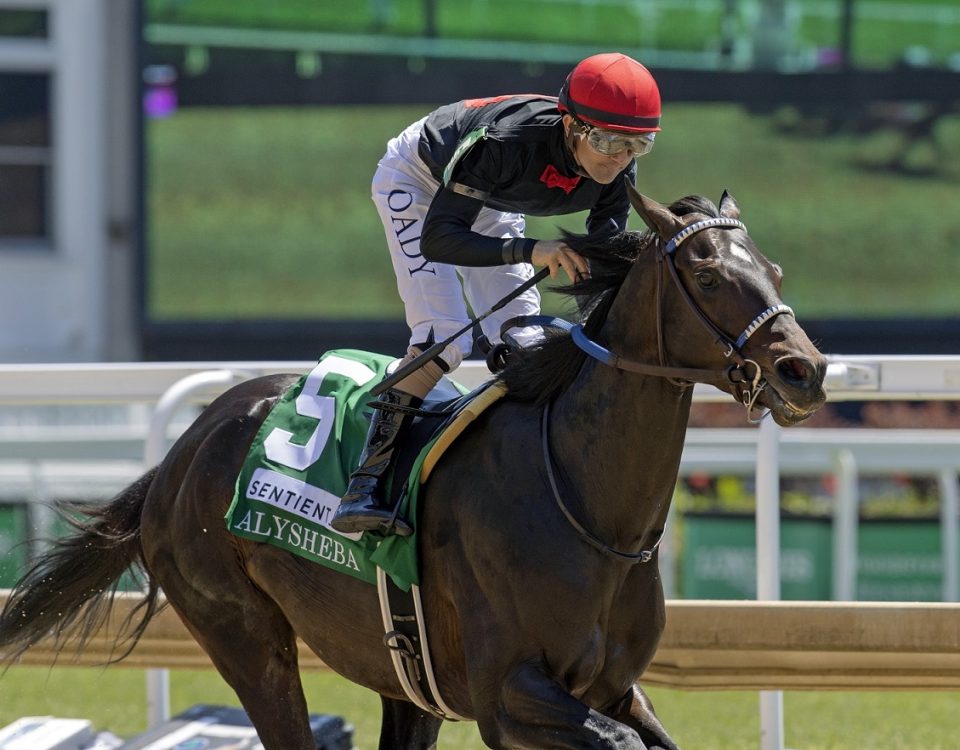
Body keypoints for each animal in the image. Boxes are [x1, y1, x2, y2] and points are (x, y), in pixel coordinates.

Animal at [0, 184, 824, 750]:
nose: (805, 371)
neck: (587, 504)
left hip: (397, 670)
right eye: (708, 274)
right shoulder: (508, 696)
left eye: (777, 270)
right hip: (246, 638)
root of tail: (178, 457)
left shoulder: (612, 687)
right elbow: (613, 741)